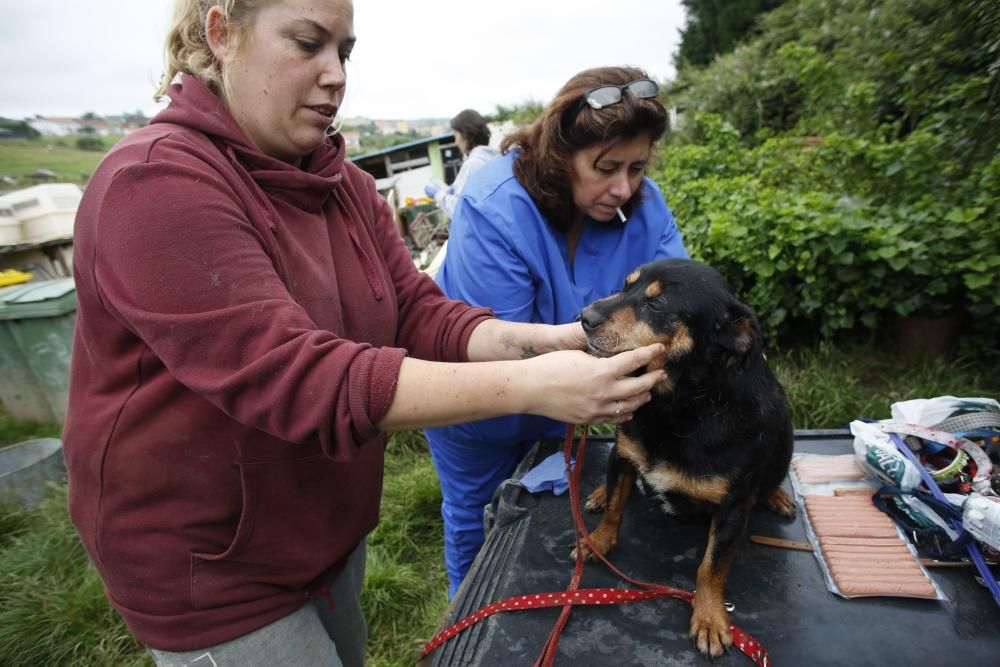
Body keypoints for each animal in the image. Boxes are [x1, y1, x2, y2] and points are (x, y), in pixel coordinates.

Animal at [576, 258, 792, 660]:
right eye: (625, 286)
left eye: (657, 304)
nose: (584, 317)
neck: (679, 406)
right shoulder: (622, 457)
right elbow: (615, 506)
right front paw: (598, 541)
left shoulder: (732, 508)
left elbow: (711, 566)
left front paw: (709, 617)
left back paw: (776, 495)